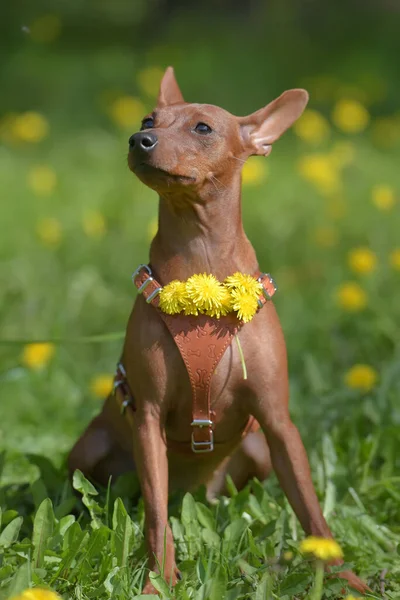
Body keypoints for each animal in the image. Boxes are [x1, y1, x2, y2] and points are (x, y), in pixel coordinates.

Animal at [67, 68, 368, 592]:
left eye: (203, 128)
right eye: (148, 120)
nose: (139, 140)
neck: (200, 257)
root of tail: (196, 493)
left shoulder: (279, 424)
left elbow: (313, 513)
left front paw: (345, 578)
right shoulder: (147, 418)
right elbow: (156, 517)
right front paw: (158, 582)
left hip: (259, 451)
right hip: (89, 449)